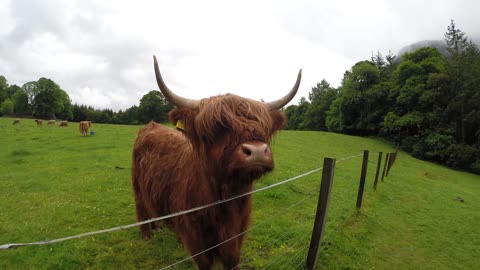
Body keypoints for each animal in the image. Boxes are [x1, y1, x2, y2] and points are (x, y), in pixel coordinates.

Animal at [132, 56, 300, 268]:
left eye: (263, 126)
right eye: (217, 126)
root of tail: (151, 125)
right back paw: (147, 234)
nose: (257, 151)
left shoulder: (237, 235)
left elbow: (232, 259)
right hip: (137, 184)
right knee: (141, 206)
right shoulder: (196, 239)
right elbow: (204, 263)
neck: (226, 203)